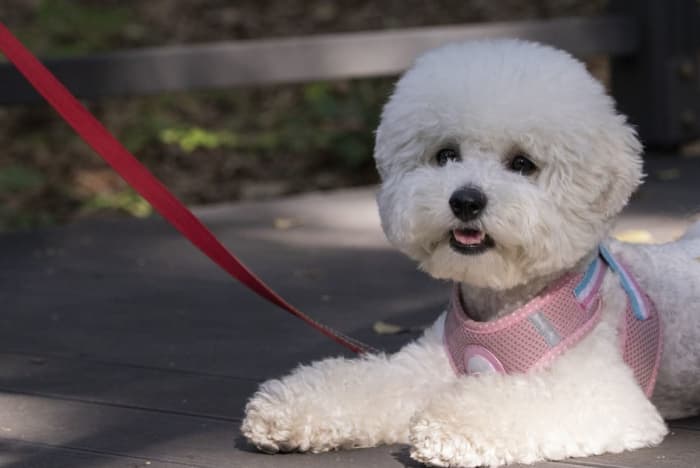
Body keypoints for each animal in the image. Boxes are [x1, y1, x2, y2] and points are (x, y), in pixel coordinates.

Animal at [242, 39, 700, 464]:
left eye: (522, 163)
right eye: (446, 155)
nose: (465, 201)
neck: (501, 305)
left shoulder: (602, 392)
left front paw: (449, 426)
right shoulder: (424, 367)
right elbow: (370, 383)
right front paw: (287, 411)